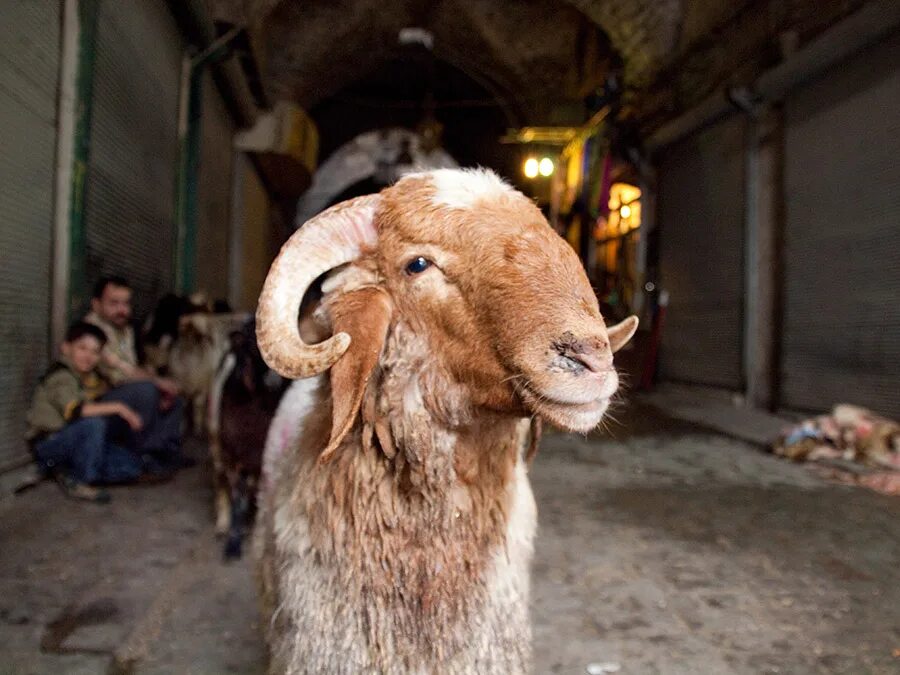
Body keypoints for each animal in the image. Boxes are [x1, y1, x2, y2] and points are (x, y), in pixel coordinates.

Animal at [208, 322, 284, 560]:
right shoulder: (232, 457)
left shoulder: (259, 458)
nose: (273, 380)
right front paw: (232, 542)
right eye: (251, 348)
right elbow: (236, 498)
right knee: (219, 481)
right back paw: (222, 525)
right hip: (216, 443)